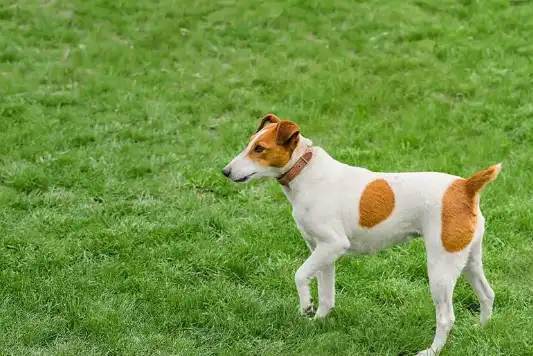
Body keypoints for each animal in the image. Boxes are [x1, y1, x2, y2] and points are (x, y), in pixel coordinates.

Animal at [222, 113, 500, 354]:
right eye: (249, 144)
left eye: (259, 149)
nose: (225, 171)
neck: (306, 171)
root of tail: (465, 186)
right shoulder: (322, 252)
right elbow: (326, 294)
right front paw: (319, 321)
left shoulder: (333, 245)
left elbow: (300, 275)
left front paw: (306, 306)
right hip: (468, 260)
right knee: (487, 295)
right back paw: (481, 330)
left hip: (440, 268)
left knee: (446, 317)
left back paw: (431, 351)